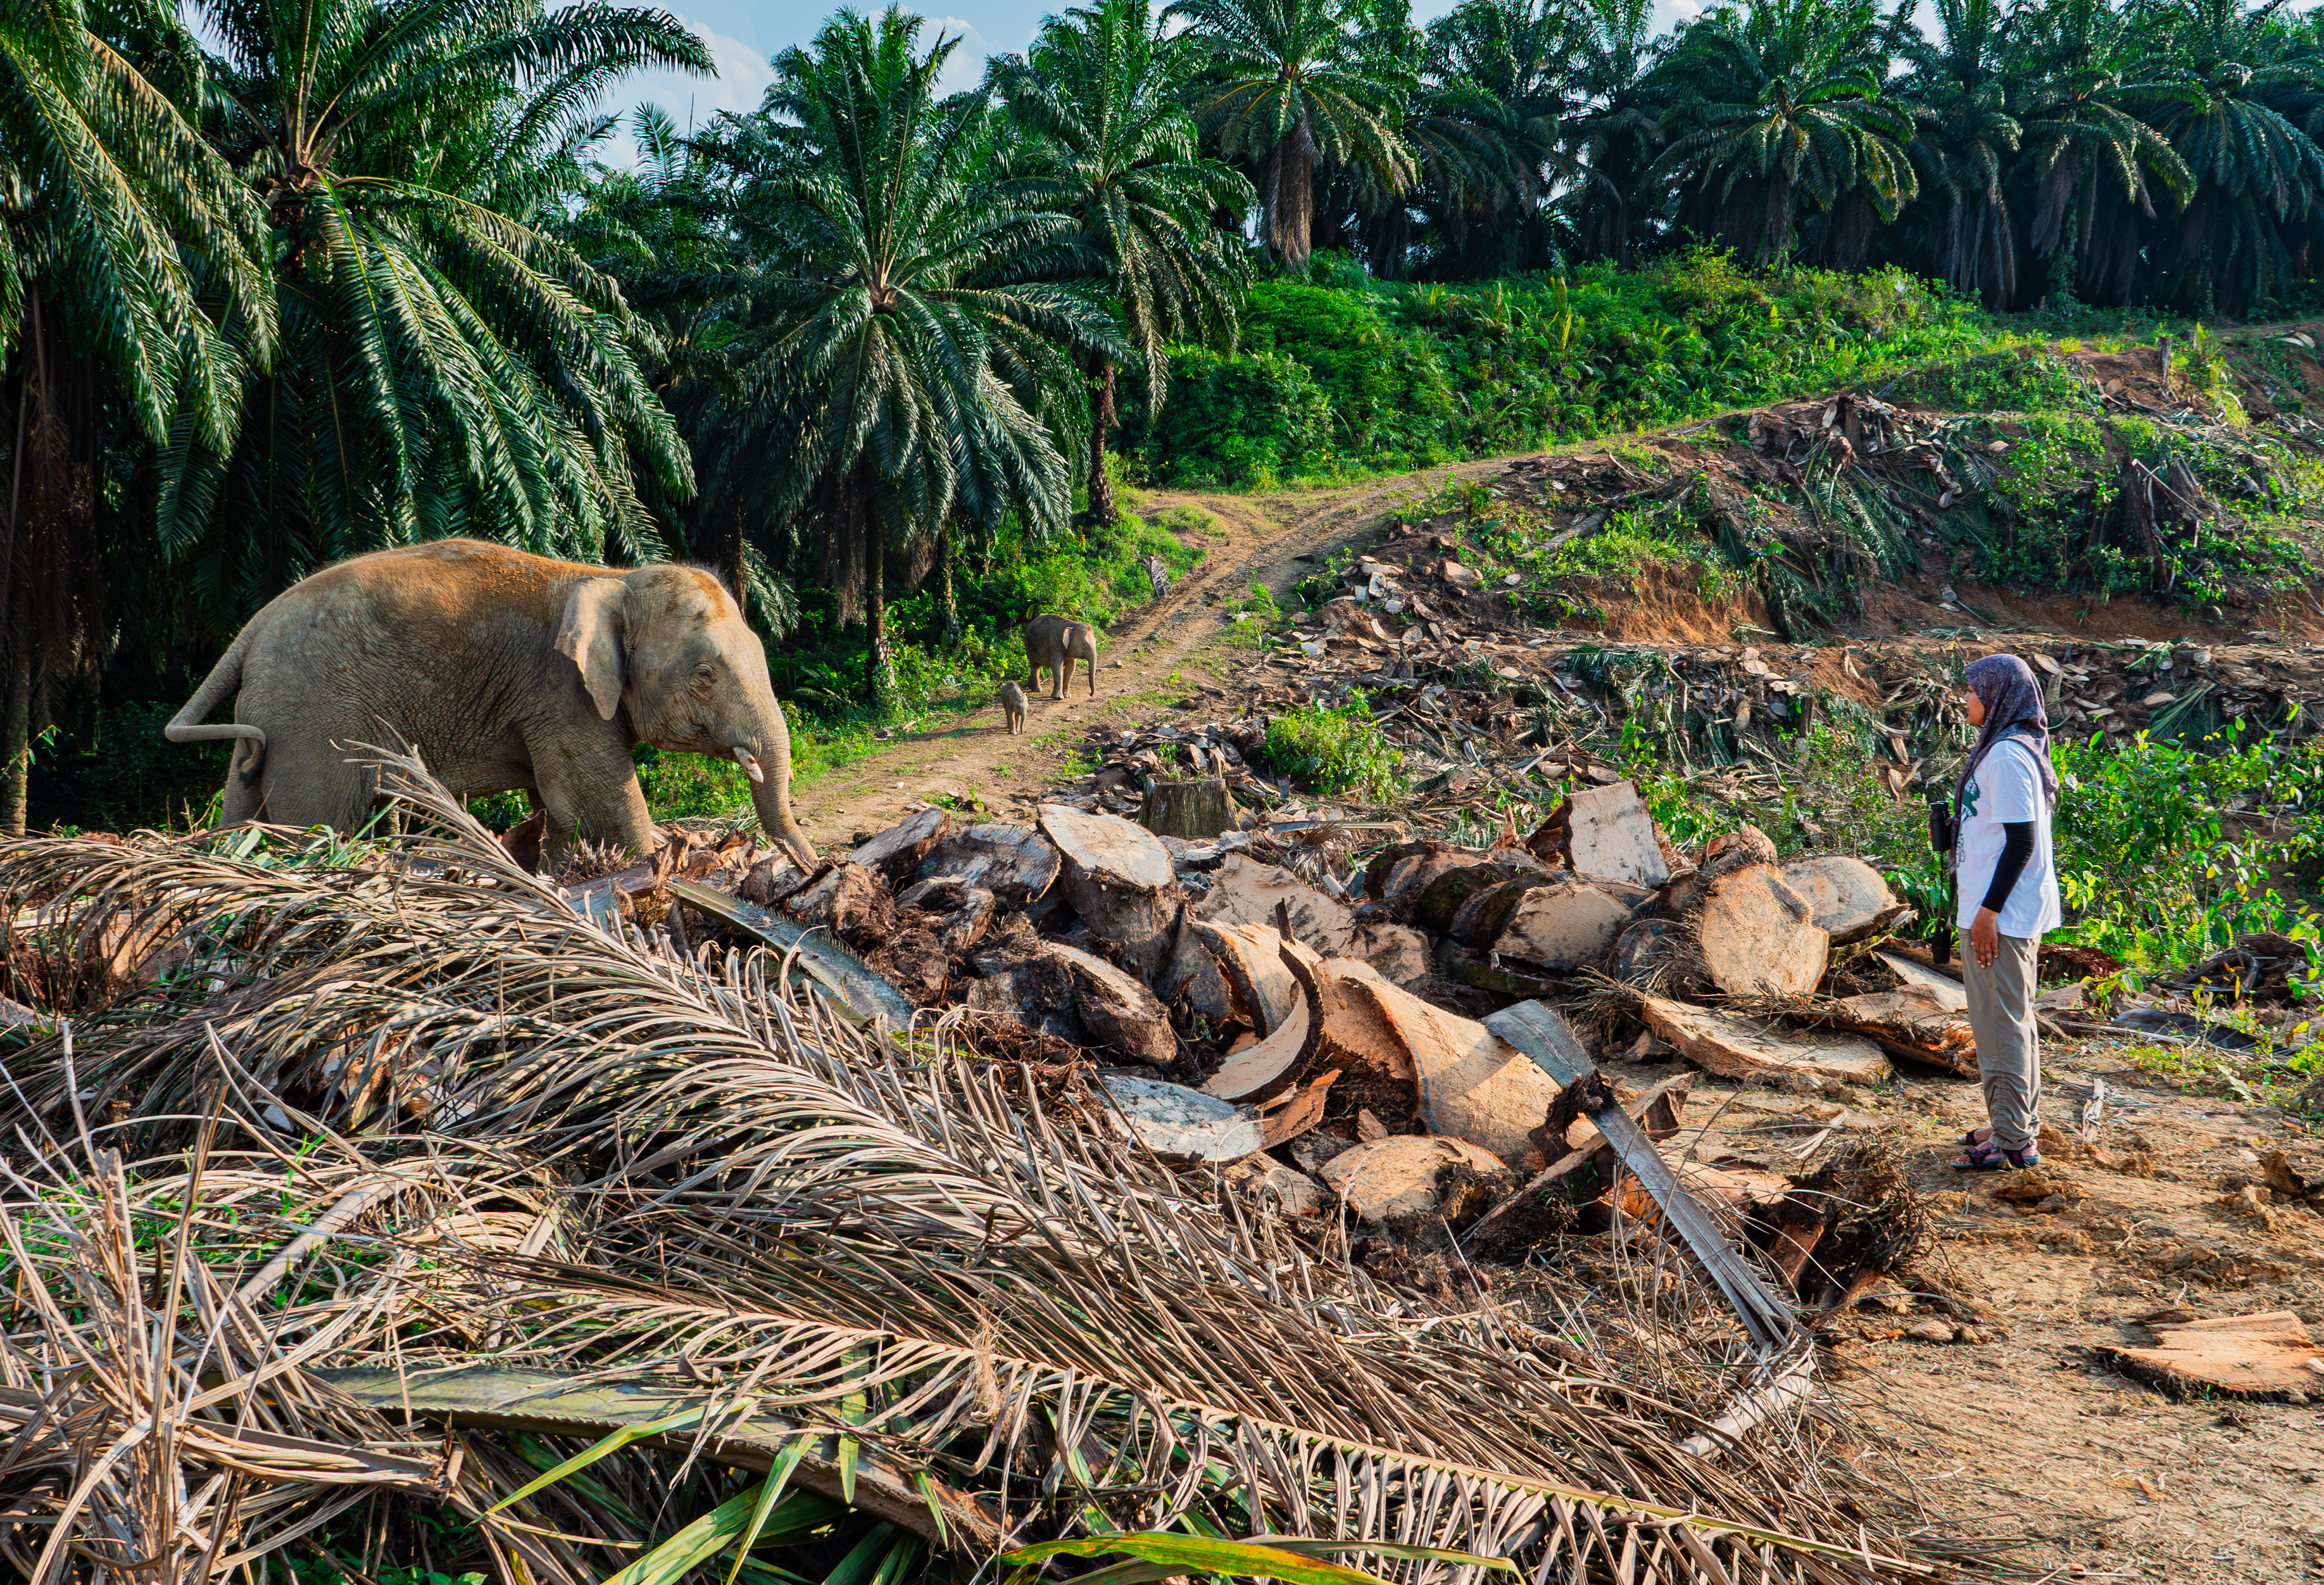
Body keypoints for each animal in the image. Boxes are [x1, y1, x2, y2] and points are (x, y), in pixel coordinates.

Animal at [164, 539, 814, 867]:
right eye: (705, 675)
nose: (817, 869)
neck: (610, 577)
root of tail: (252, 626)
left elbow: (559, 809)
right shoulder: (560, 694)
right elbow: (599, 799)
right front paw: (649, 866)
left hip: (272, 712)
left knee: (244, 790)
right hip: (313, 716)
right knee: (320, 822)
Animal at [1022, 613, 1097, 699]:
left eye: (1096, 641)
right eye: (1084, 644)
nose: (1090, 694)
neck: (1073, 625)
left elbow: (1072, 666)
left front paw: (1068, 696)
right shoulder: (1056, 644)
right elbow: (1056, 665)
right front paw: (1058, 697)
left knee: (1038, 666)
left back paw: (1030, 687)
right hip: (1028, 645)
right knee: (1035, 666)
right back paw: (1038, 690)